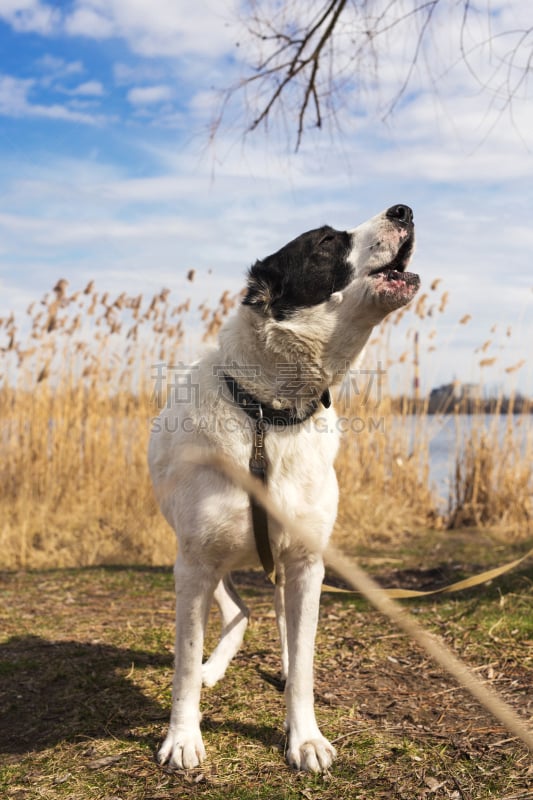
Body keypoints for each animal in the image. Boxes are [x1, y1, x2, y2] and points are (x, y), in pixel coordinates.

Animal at [148, 203, 418, 772]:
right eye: (326, 242)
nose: (403, 210)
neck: (267, 416)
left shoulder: (306, 563)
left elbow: (306, 661)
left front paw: (305, 737)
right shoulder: (194, 564)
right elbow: (183, 667)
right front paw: (182, 737)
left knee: (275, 618)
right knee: (237, 611)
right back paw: (212, 668)